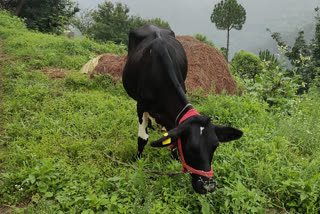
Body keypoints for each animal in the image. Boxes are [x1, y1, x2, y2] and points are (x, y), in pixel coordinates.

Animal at [122, 23, 242, 194]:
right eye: (190, 147)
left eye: (215, 146)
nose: (208, 186)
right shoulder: (141, 106)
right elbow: (142, 138)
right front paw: (137, 161)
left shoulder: (173, 115)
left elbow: (172, 137)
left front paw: (174, 160)